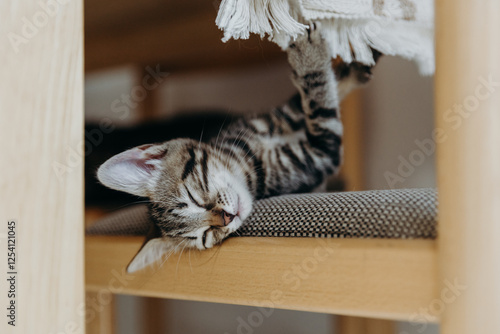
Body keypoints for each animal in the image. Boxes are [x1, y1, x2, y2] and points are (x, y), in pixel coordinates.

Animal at [96, 24, 376, 272]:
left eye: (193, 198)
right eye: (205, 236)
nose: (226, 218)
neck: (245, 152)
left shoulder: (283, 115)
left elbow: (315, 91)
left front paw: (363, 57)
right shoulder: (318, 154)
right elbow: (321, 104)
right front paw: (310, 53)